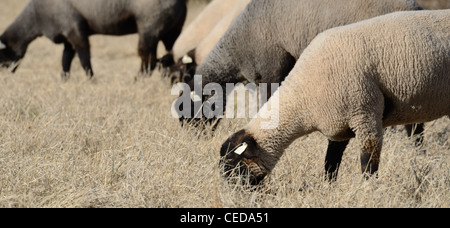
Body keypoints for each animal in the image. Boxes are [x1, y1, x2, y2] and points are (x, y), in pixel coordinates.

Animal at [0, 0, 186, 79]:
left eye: (2, 58)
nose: (4, 77)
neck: (35, 17)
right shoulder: (68, 37)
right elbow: (65, 59)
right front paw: (64, 79)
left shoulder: (75, 30)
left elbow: (84, 58)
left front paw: (91, 79)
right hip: (172, 32)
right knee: (172, 56)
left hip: (150, 28)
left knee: (149, 60)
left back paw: (138, 80)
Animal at [221, 10, 450, 185]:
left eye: (232, 165)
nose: (233, 193)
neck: (302, 99)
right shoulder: (338, 125)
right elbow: (331, 162)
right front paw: (328, 186)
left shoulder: (365, 115)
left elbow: (368, 162)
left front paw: (369, 190)